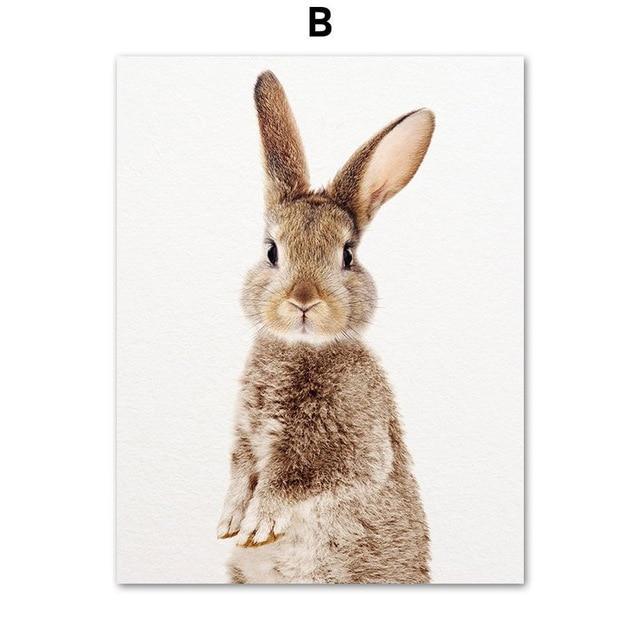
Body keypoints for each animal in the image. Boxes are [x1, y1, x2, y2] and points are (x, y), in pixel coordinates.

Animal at [217, 71, 435, 583]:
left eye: (348, 255)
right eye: (271, 251)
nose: (303, 300)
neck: (299, 348)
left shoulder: (350, 445)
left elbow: (296, 479)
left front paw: (258, 522)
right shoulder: (243, 437)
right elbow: (240, 470)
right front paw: (231, 519)